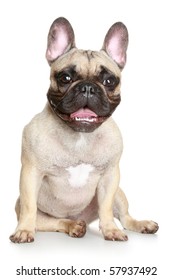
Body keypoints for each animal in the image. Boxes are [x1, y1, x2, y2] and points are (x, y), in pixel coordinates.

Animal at [9, 17, 158, 243]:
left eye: (109, 81)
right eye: (65, 78)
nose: (88, 87)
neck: (80, 136)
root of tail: (81, 218)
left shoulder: (110, 176)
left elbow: (106, 207)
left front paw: (111, 230)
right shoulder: (30, 173)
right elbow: (29, 206)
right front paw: (24, 231)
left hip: (119, 194)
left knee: (125, 216)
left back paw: (141, 224)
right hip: (36, 212)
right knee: (51, 221)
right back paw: (72, 226)